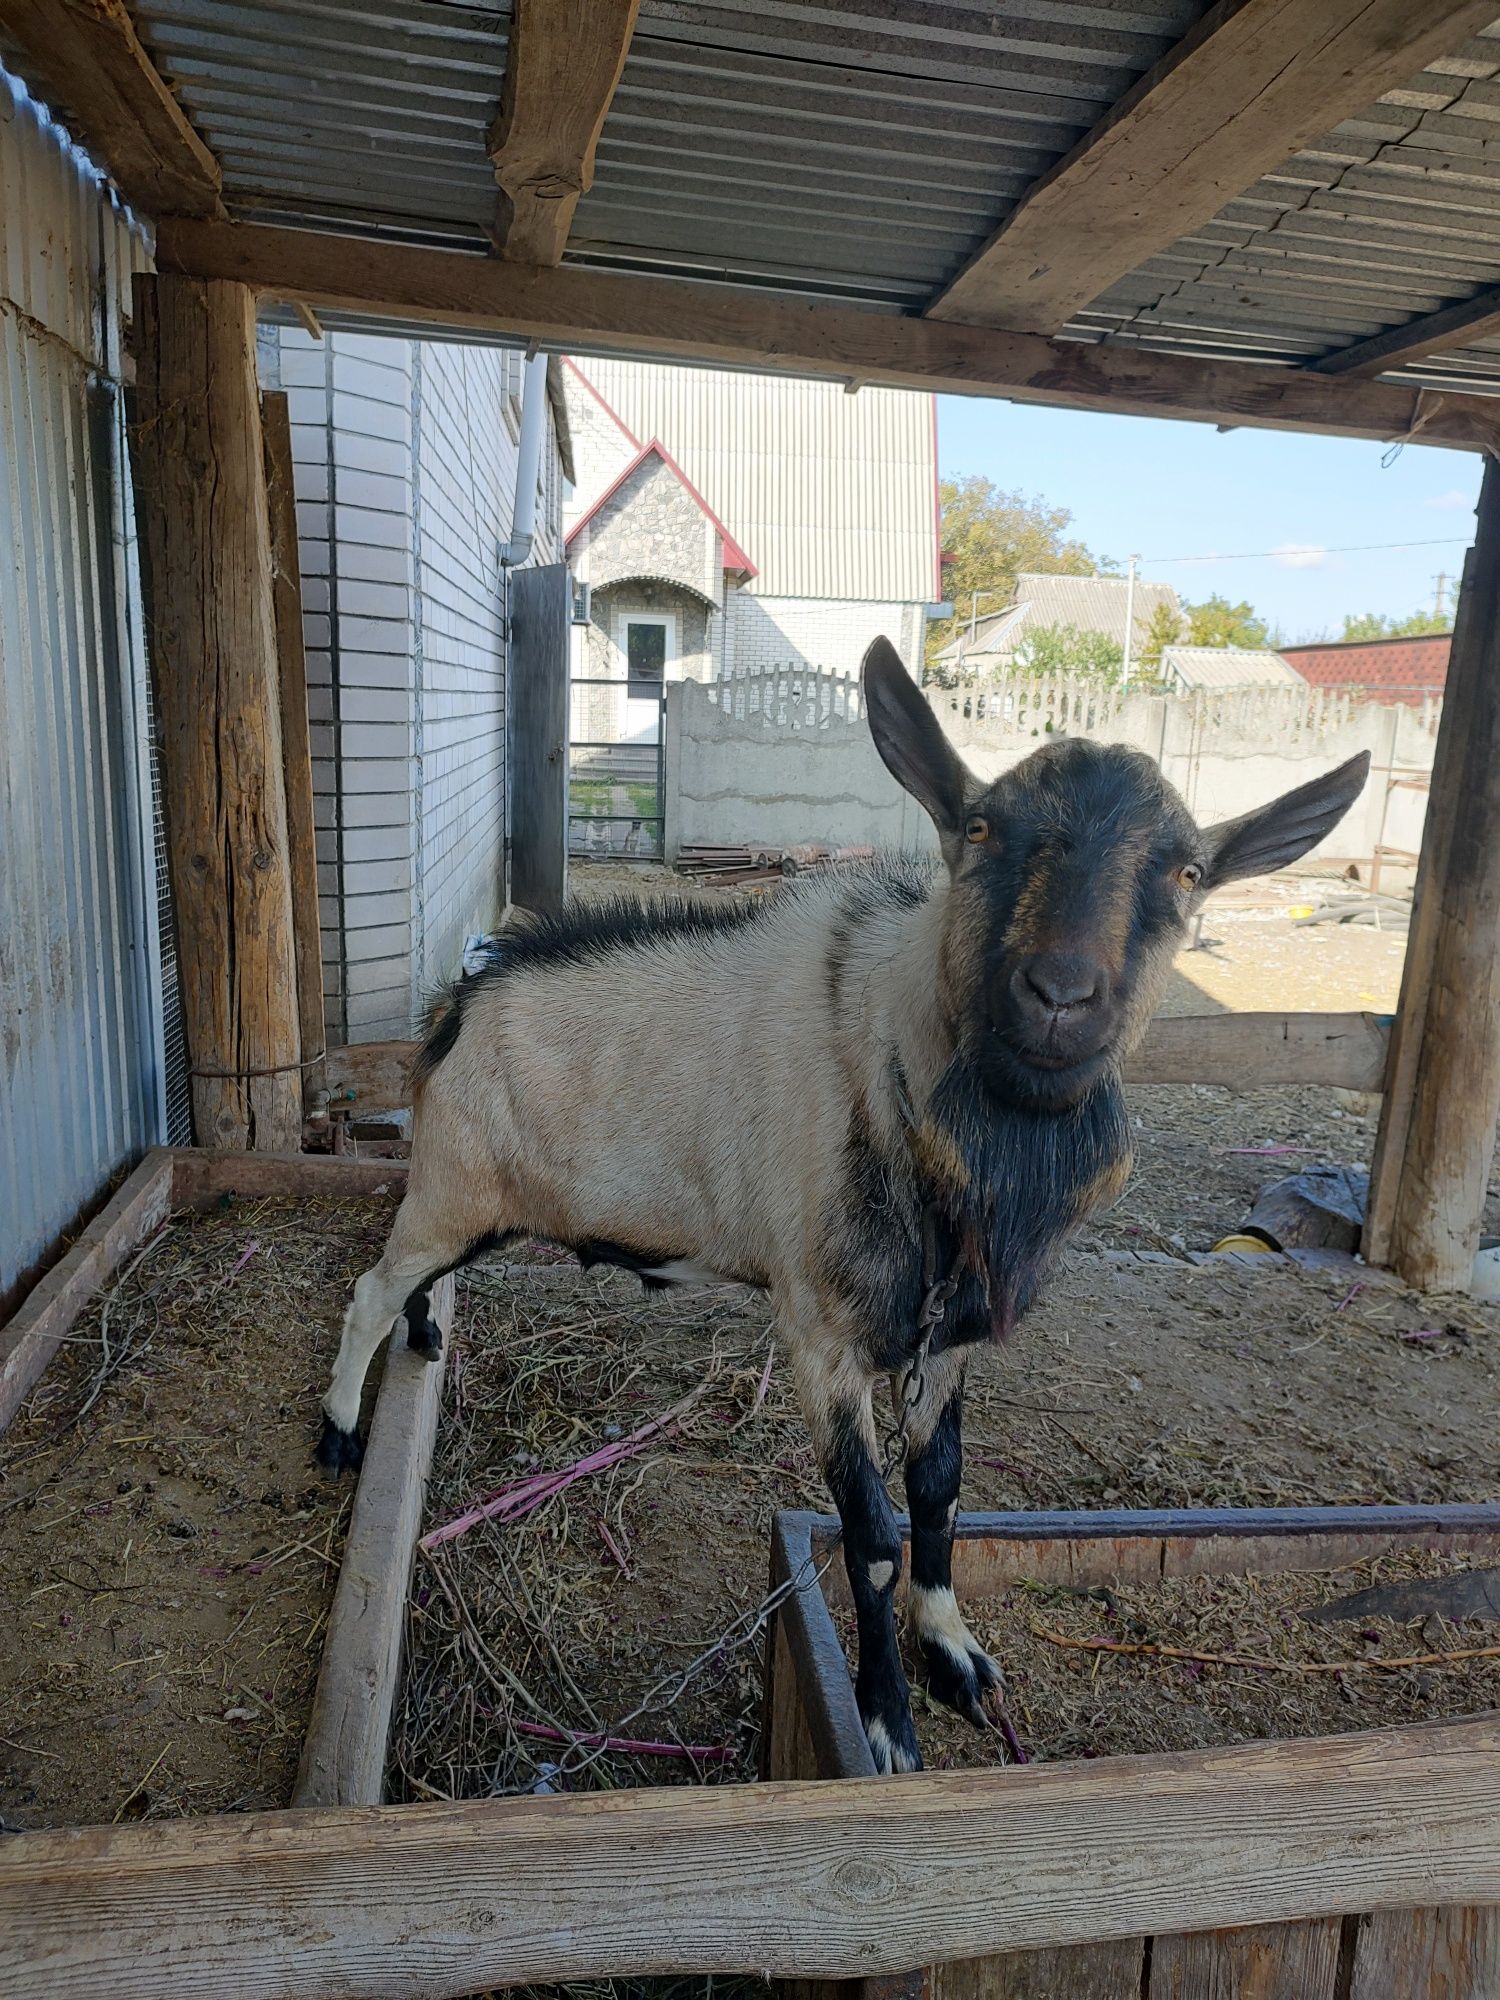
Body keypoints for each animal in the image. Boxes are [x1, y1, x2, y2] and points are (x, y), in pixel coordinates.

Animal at [318, 636, 1376, 1768]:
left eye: (1187, 871)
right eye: (978, 828)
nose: (1059, 999)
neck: (891, 1060)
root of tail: (458, 1005)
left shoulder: (944, 1337)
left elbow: (941, 1494)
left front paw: (953, 1653)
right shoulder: (821, 1335)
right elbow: (869, 1532)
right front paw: (886, 1720)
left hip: (486, 1208)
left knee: (416, 1285)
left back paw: (426, 1340)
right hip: (451, 1184)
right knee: (369, 1287)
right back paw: (339, 1433)